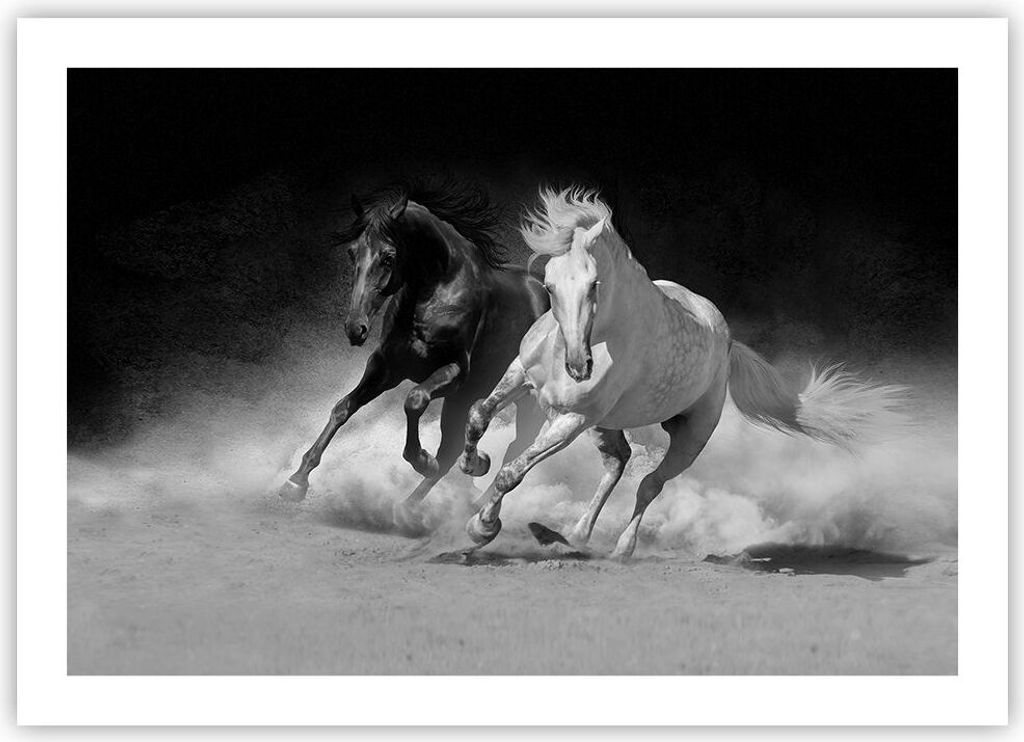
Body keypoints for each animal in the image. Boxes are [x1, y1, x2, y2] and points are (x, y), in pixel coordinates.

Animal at [278, 180, 549, 517]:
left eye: (388, 257)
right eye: (353, 252)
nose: (355, 328)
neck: (438, 291)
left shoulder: (455, 372)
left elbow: (414, 400)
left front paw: (422, 460)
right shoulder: (386, 366)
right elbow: (343, 407)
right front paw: (296, 480)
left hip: (523, 399)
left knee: (515, 446)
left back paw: (466, 503)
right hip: (467, 398)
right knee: (456, 449)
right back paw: (424, 503)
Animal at [458, 187, 907, 559]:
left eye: (594, 284)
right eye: (550, 286)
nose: (578, 367)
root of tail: (727, 343)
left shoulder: (571, 419)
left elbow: (513, 472)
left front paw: (482, 527)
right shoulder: (520, 375)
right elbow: (479, 413)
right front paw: (473, 463)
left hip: (690, 435)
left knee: (649, 483)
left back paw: (617, 548)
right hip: (607, 423)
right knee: (618, 462)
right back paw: (572, 535)